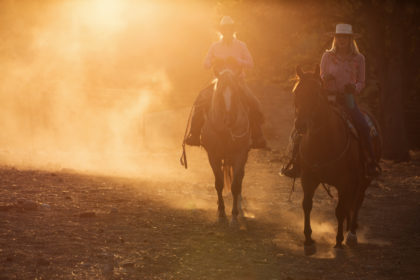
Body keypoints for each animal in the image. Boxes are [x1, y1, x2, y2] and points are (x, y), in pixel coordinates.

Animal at [199, 69, 249, 226]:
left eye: (236, 92)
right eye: (220, 93)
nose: (229, 119)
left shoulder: (240, 155)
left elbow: (235, 185)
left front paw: (234, 214)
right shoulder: (213, 156)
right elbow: (219, 183)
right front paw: (221, 211)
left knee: (240, 178)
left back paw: (239, 203)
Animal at [294, 66, 382, 254]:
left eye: (316, 93)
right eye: (296, 92)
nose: (301, 125)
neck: (323, 143)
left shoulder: (344, 182)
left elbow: (340, 210)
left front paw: (339, 241)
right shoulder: (308, 178)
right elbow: (307, 205)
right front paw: (308, 240)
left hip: (364, 180)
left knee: (357, 202)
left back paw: (352, 235)